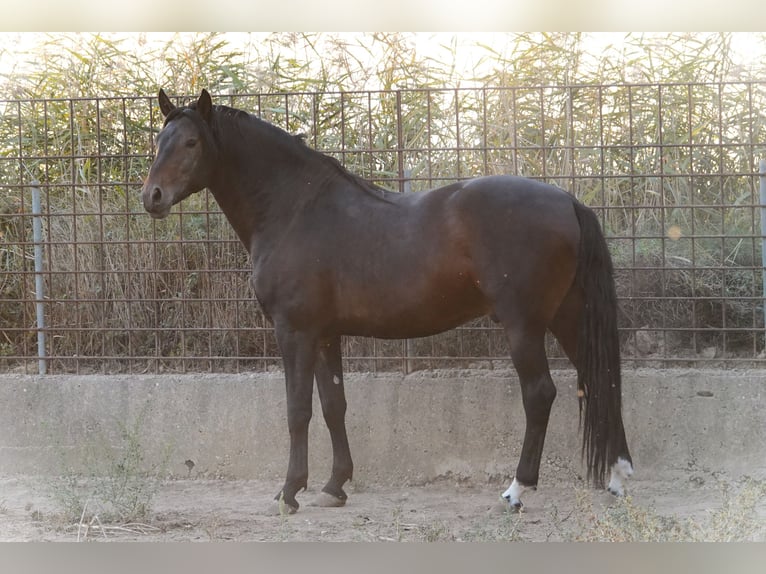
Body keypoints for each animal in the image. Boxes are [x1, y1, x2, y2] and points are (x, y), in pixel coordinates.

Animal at [141, 89, 633, 514]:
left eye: (190, 142)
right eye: (159, 141)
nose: (152, 197)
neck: (294, 210)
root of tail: (568, 200)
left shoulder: (294, 331)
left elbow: (298, 409)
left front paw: (289, 492)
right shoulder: (326, 334)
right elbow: (333, 405)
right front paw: (334, 486)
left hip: (524, 325)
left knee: (540, 394)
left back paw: (517, 490)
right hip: (568, 316)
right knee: (602, 380)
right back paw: (618, 477)